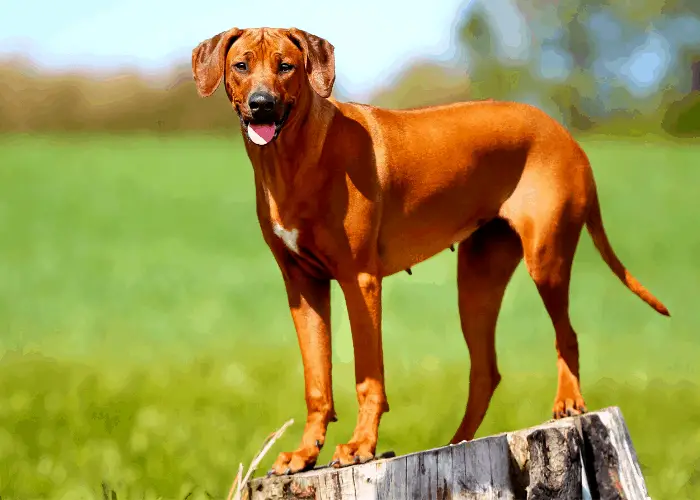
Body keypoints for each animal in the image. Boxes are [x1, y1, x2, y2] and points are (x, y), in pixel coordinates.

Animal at [190, 27, 668, 476]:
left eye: (285, 66)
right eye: (241, 65)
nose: (262, 104)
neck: (295, 159)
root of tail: (564, 133)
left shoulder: (360, 280)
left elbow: (368, 377)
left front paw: (360, 446)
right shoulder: (303, 287)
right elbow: (316, 383)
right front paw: (305, 455)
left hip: (546, 258)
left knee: (566, 335)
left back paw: (568, 402)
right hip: (476, 280)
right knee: (486, 370)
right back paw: (457, 443)